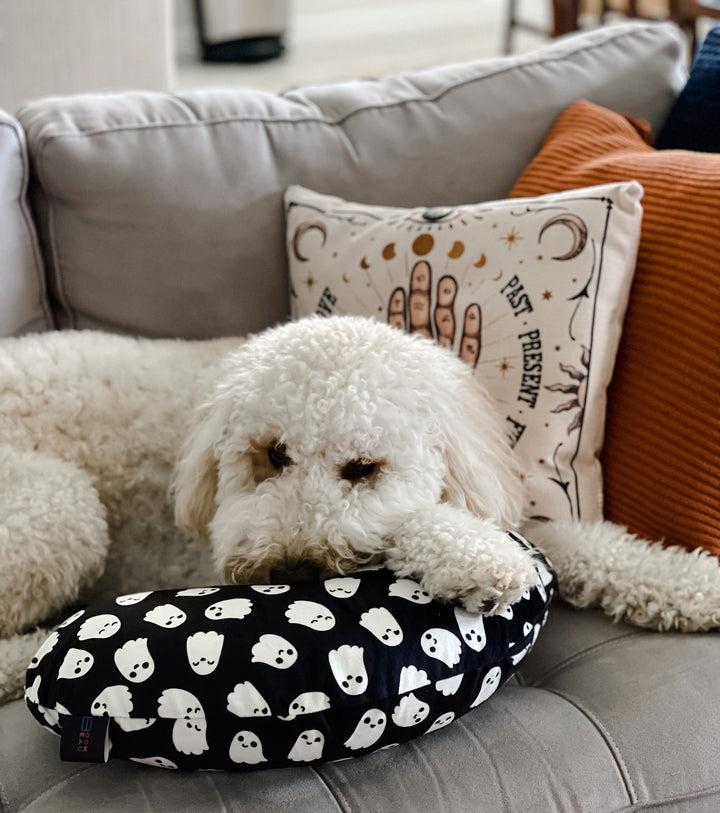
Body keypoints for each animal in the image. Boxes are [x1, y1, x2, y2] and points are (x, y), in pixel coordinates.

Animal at [1, 314, 720, 700]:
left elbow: (588, 545)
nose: (290, 571)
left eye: (362, 469)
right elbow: (422, 527)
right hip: (60, 508)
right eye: (272, 454)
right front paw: (476, 560)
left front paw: (691, 584)